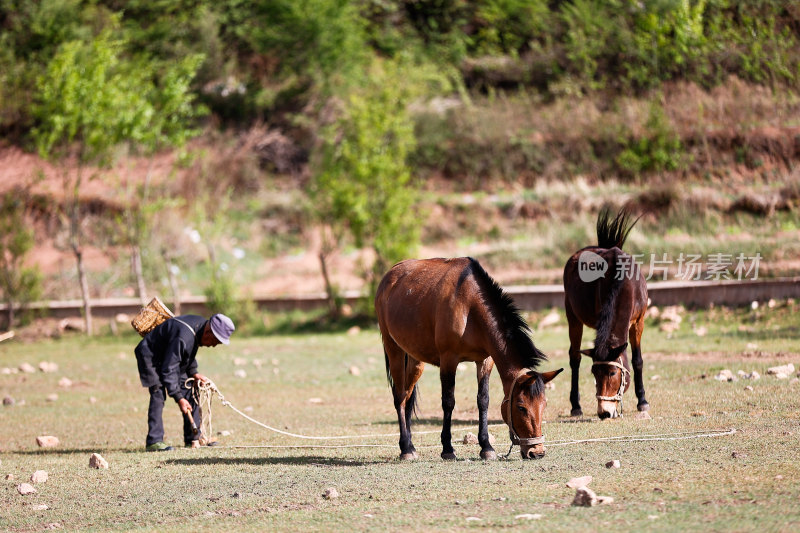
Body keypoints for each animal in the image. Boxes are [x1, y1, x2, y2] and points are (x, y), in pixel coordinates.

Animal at [376, 256, 564, 460]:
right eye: (521, 407)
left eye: (544, 404)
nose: (537, 452)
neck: (470, 307)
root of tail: (389, 276)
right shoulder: (448, 360)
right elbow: (448, 402)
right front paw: (447, 449)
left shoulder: (485, 360)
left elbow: (483, 400)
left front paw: (487, 447)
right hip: (393, 349)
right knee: (400, 397)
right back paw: (405, 448)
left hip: (415, 360)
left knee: (408, 397)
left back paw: (410, 445)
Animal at [564, 208, 648, 420]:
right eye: (594, 374)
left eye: (612, 373)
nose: (604, 412)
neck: (623, 282)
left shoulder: (639, 322)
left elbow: (637, 360)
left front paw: (643, 401)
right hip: (573, 317)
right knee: (574, 358)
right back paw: (575, 405)